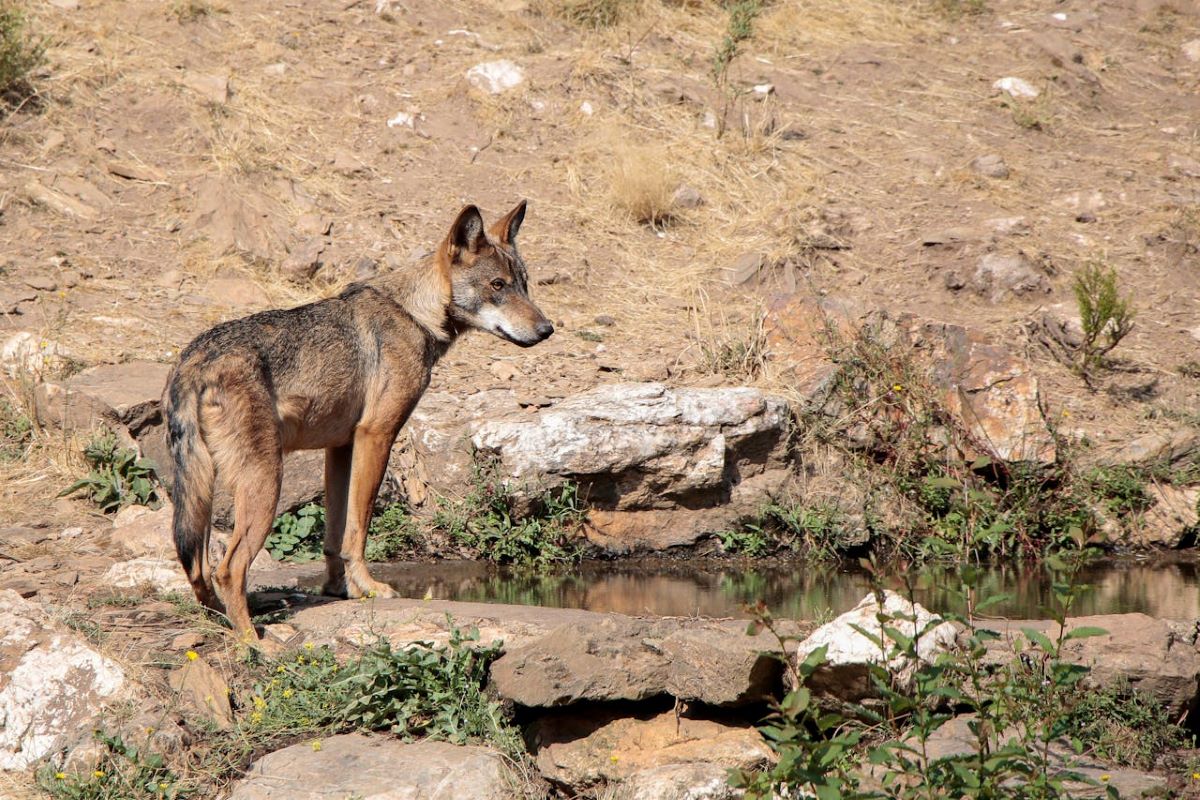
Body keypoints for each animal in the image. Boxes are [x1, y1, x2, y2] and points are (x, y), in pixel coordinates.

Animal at [164, 201, 553, 640]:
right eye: (497, 285)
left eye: (524, 284)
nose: (547, 329)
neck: (414, 314)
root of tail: (194, 361)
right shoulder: (377, 435)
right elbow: (358, 529)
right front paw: (369, 588)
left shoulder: (341, 447)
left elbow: (334, 536)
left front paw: (340, 590)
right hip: (264, 484)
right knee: (227, 569)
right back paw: (257, 644)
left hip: (203, 491)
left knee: (198, 569)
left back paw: (225, 620)